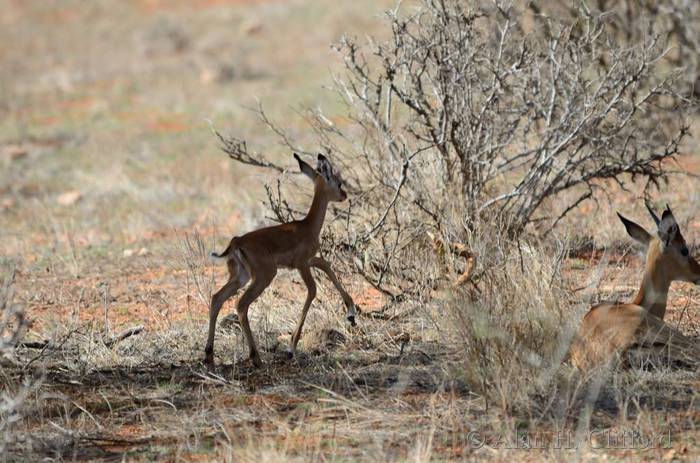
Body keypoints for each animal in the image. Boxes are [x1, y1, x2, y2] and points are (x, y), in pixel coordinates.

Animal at [204, 153, 358, 367]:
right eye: (338, 182)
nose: (344, 195)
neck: (307, 227)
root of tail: (236, 242)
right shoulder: (302, 264)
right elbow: (312, 290)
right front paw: (291, 348)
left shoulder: (308, 261)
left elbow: (326, 265)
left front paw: (351, 314)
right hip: (264, 276)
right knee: (241, 305)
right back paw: (256, 358)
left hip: (241, 277)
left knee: (217, 298)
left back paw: (209, 356)